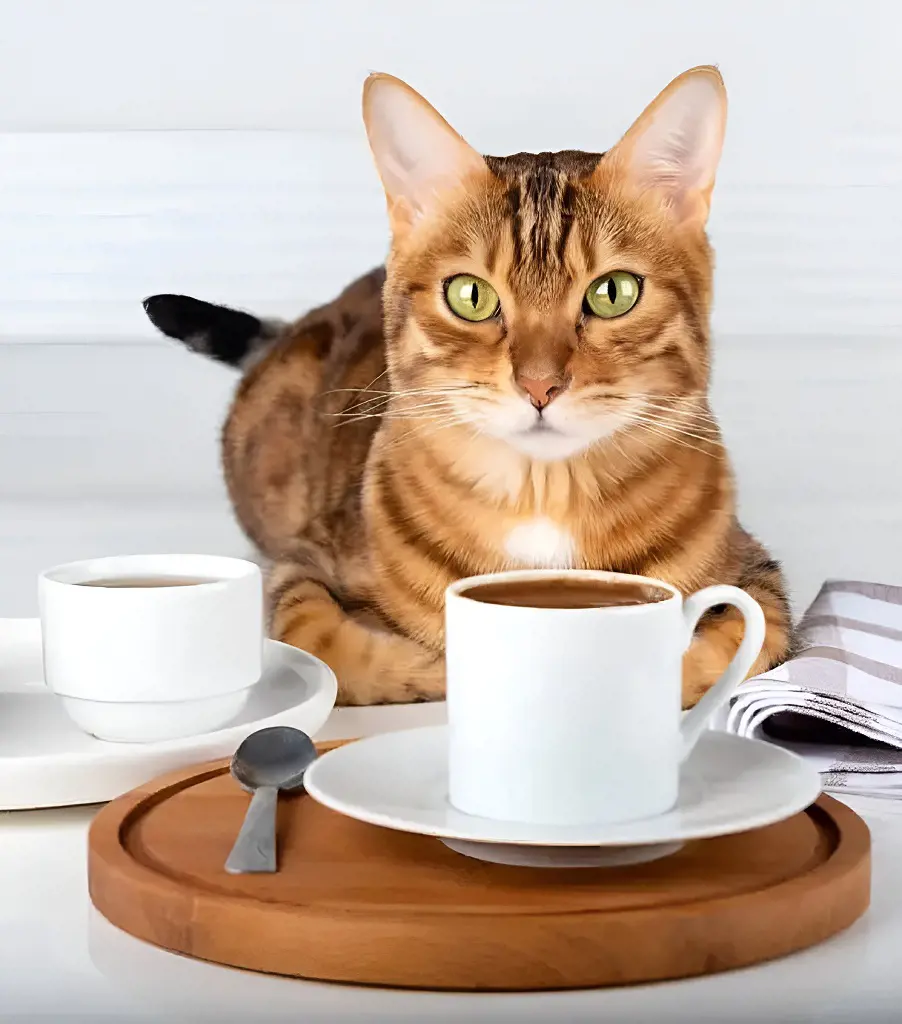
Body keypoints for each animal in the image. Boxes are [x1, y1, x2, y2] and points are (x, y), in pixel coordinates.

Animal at [142, 64, 794, 704]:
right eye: (470, 296)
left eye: (614, 293)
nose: (539, 385)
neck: (542, 499)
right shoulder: (302, 564)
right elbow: (332, 644)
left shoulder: (759, 580)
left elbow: (723, 646)